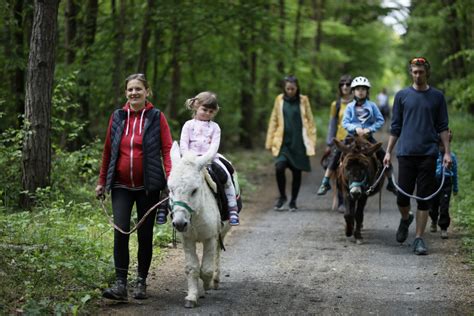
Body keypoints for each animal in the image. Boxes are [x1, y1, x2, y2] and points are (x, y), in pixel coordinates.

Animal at [168, 142, 231, 308]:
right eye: (171, 189)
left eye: (194, 190)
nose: (179, 223)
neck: (194, 216)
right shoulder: (187, 240)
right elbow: (192, 268)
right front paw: (191, 297)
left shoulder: (210, 237)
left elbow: (206, 269)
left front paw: (206, 285)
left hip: (221, 232)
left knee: (217, 253)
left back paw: (215, 281)